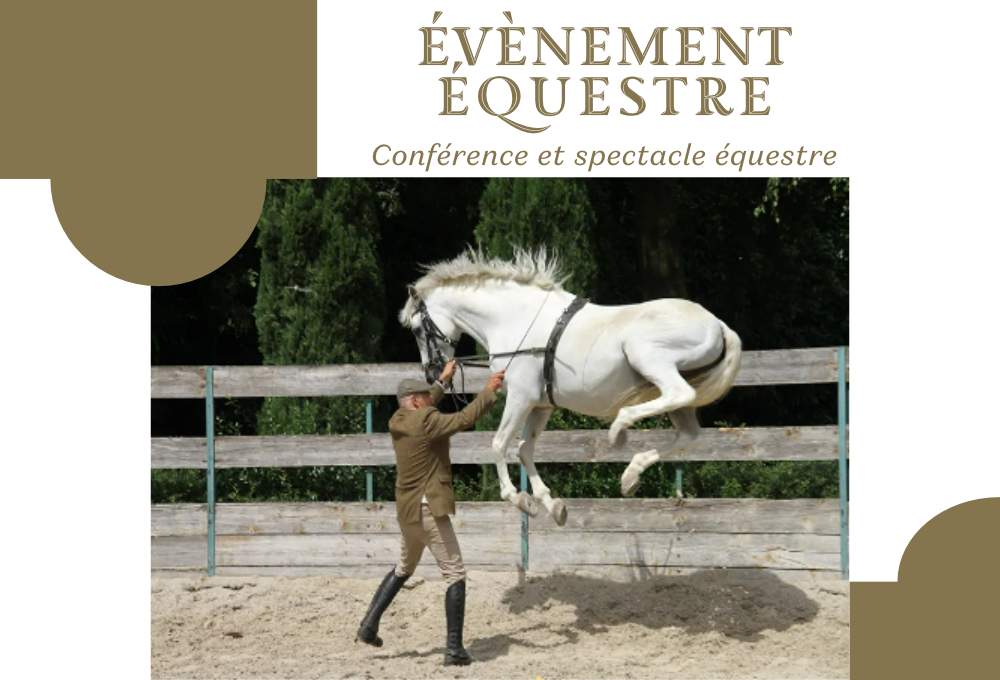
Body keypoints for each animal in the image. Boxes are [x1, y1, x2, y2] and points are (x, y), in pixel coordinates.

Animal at [399, 249, 742, 526]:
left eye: (416, 329)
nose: (432, 374)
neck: (514, 320)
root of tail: (719, 325)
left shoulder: (520, 398)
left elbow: (499, 444)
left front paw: (519, 499)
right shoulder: (540, 405)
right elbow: (524, 449)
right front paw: (552, 506)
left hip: (650, 359)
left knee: (678, 395)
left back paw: (619, 430)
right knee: (689, 434)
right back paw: (630, 476)